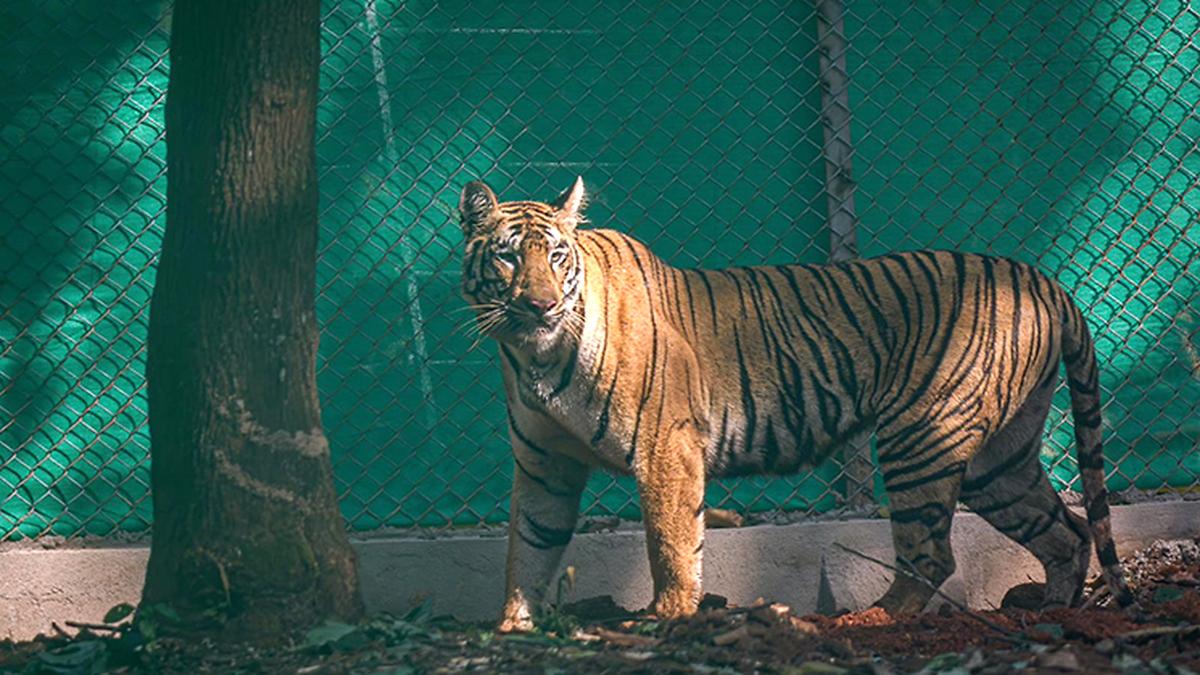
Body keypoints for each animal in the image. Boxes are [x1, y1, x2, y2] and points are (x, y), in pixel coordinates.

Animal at [451, 174, 1132, 629]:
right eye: (507, 255)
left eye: (556, 256)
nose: (539, 304)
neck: (534, 354)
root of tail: (1044, 279)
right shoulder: (545, 465)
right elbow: (528, 547)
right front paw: (512, 629)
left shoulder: (665, 448)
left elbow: (670, 543)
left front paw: (667, 618)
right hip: (999, 460)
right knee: (1065, 531)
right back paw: (1055, 614)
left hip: (923, 436)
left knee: (933, 553)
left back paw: (868, 621)